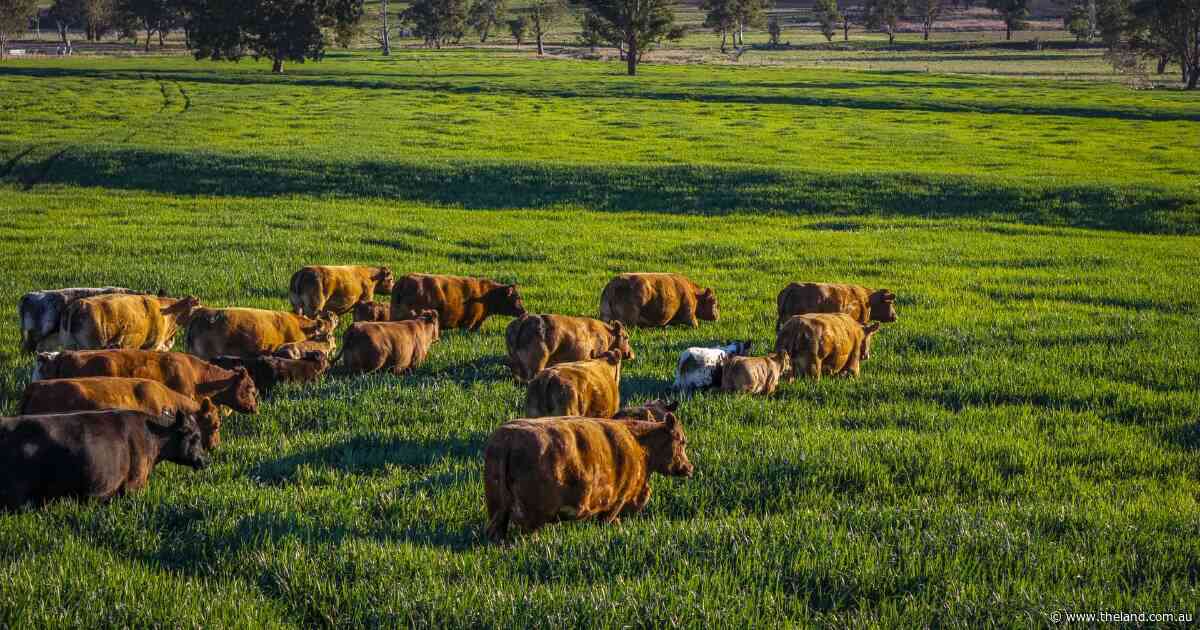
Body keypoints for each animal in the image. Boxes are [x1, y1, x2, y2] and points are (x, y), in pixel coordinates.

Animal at [483, 413, 694, 540]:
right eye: (682, 441)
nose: (690, 467)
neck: (639, 444)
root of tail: (508, 440)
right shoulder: (616, 501)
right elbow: (607, 521)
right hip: (531, 513)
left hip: (497, 509)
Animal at [505, 314, 634, 383]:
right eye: (626, 337)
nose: (632, 354)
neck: (607, 335)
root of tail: (524, 319)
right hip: (538, 361)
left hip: (514, 360)